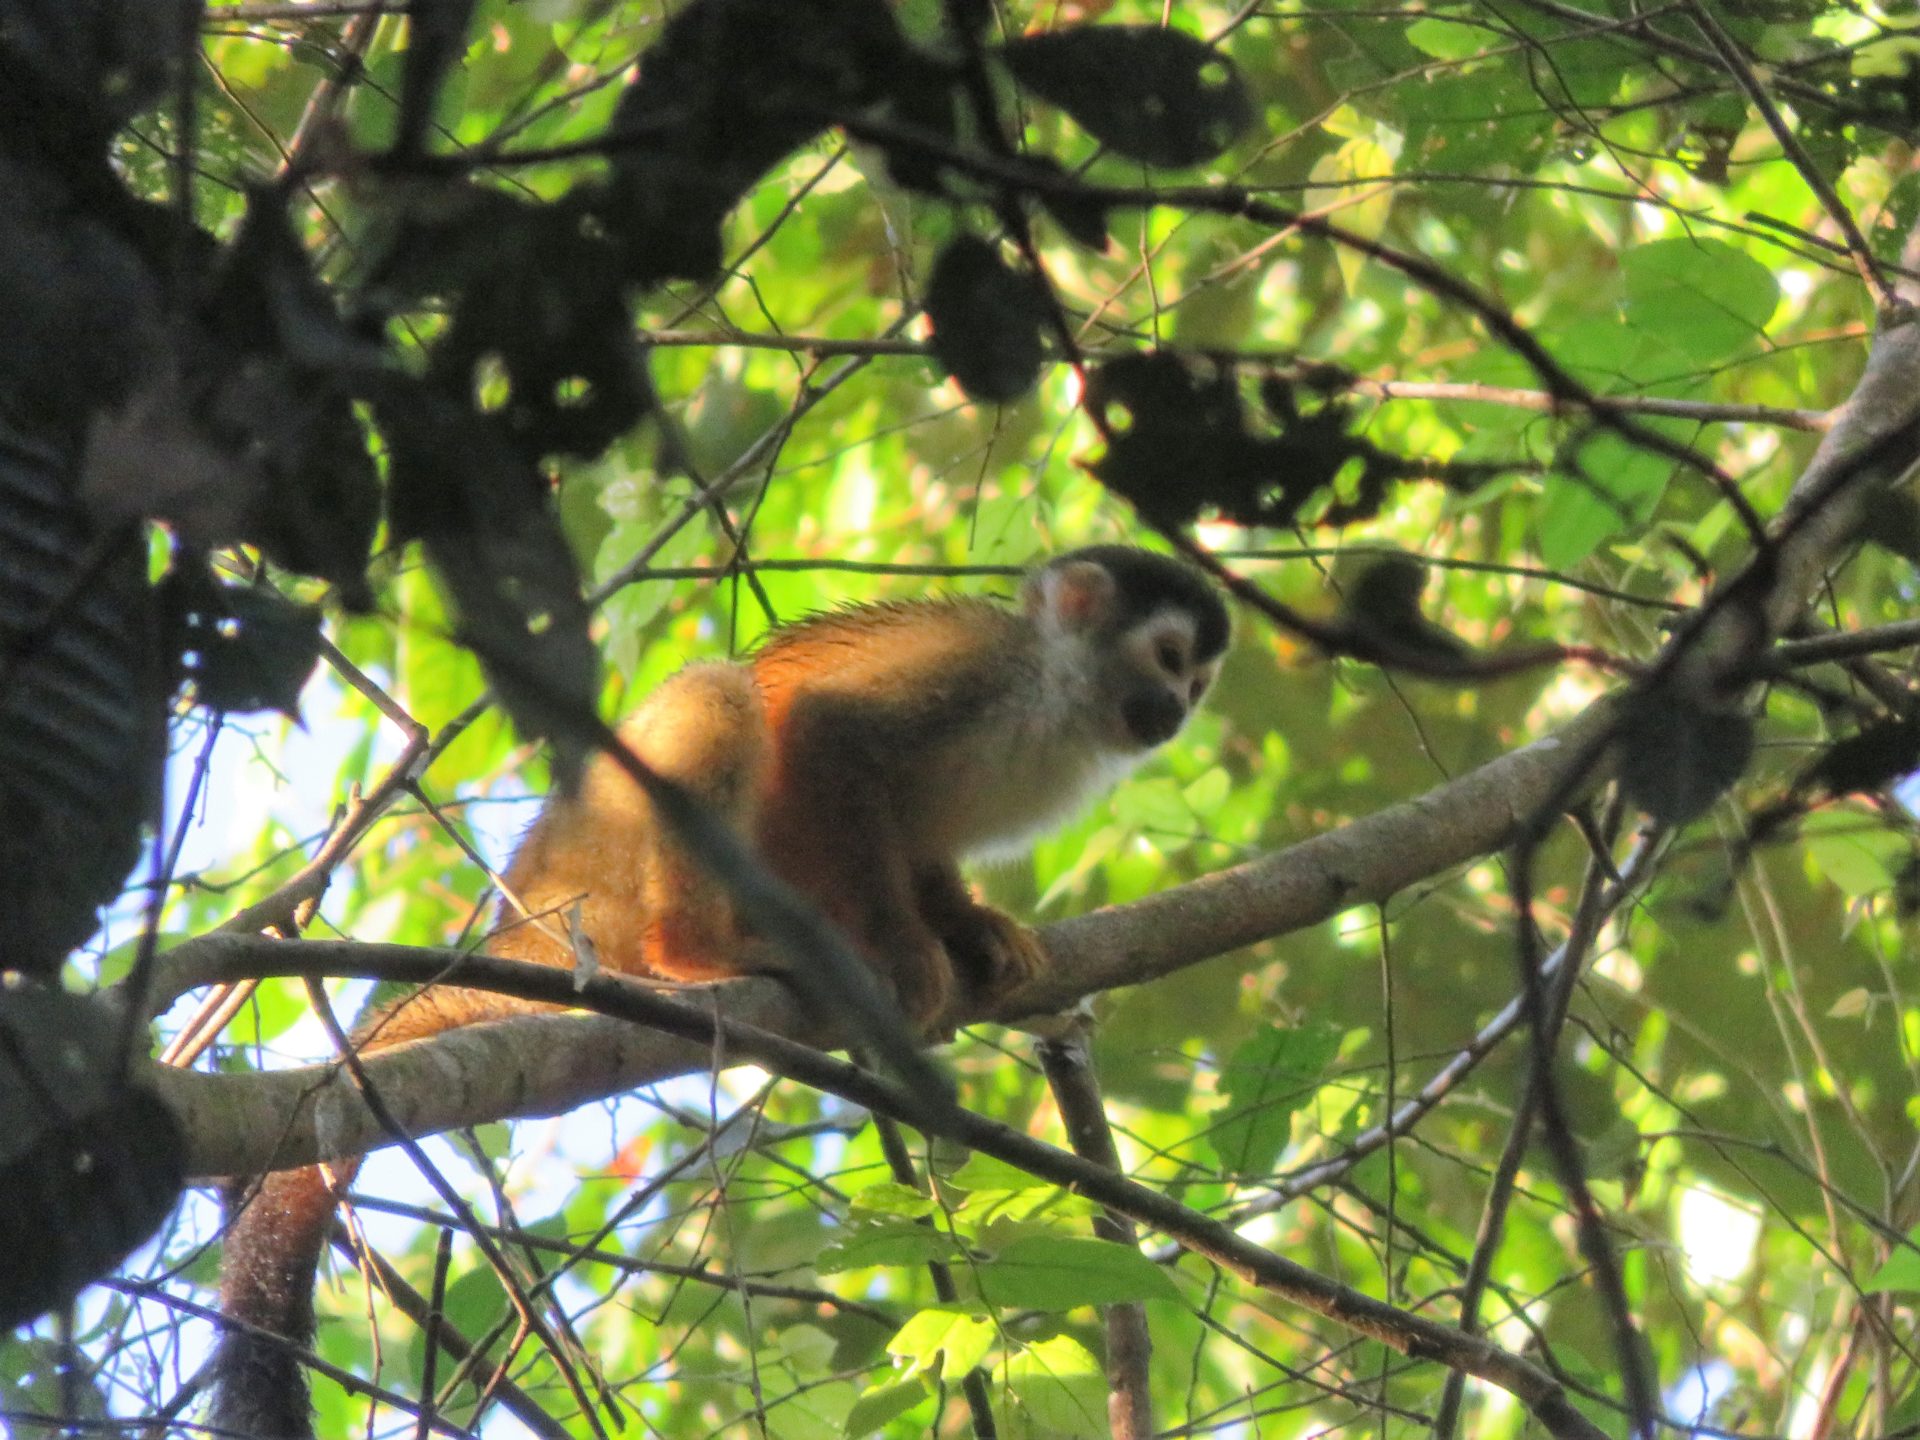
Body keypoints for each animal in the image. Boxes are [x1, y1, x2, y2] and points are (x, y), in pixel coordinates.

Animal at [210, 545, 1228, 1440]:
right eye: (1170, 660)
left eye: (1200, 683)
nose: (1179, 711)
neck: (1062, 704)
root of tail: (519, 917)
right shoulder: (981, 672)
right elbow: (824, 731)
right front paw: (907, 952)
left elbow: (919, 848)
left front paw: (973, 930)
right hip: (596, 867)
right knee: (720, 693)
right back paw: (699, 950)